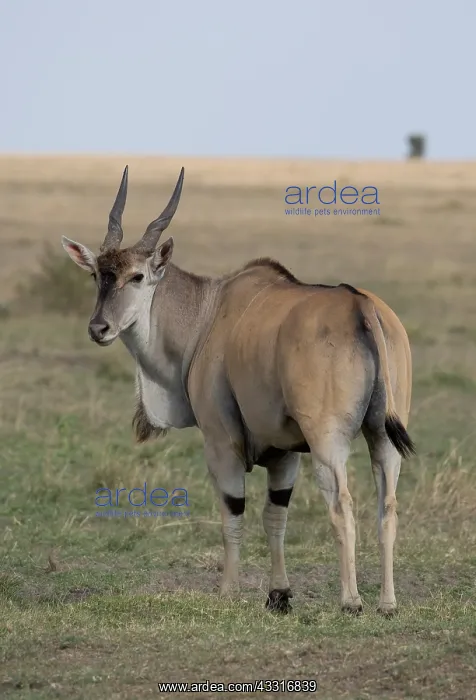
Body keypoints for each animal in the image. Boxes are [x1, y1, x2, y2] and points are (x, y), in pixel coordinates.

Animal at [62, 166, 415, 616]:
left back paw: (351, 600)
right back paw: (387, 603)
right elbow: (274, 517)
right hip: (383, 438)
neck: (208, 312)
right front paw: (279, 594)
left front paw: (228, 590)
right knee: (387, 508)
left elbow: (233, 513)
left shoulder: (221, 443)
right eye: (97, 275)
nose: (99, 328)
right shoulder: (284, 454)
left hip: (328, 441)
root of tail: (361, 305)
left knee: (342, 505)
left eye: (137, 276)